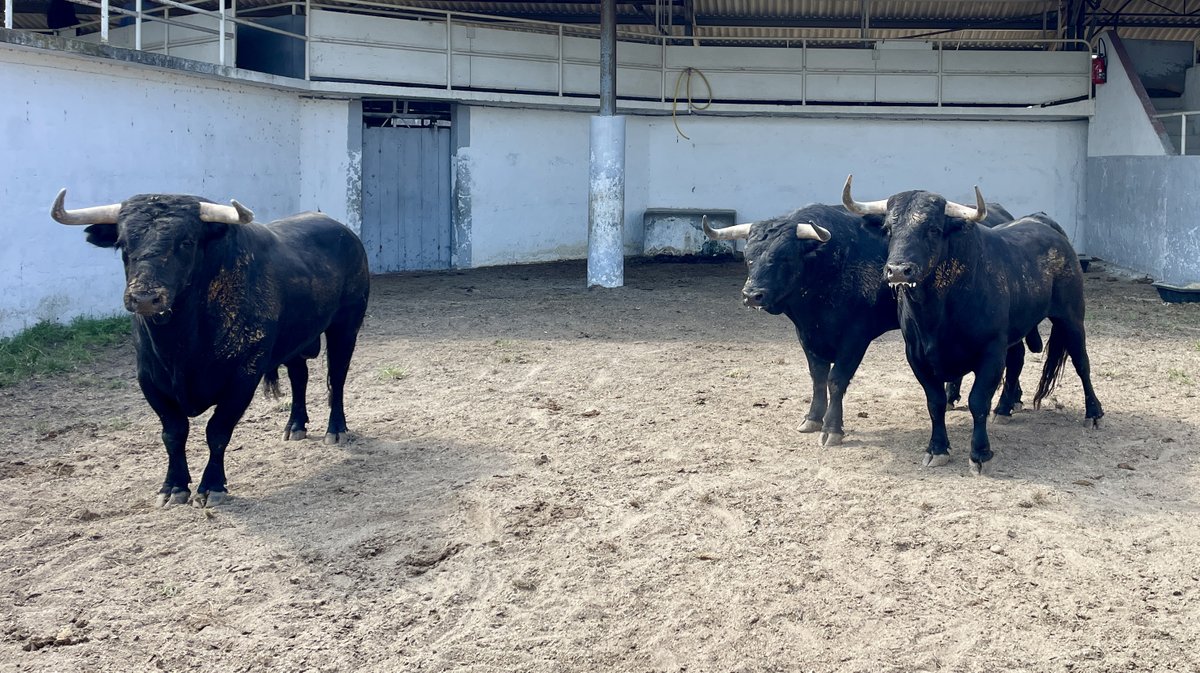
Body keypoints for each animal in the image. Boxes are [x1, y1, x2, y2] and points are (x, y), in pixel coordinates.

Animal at [50, 189, 369, 503]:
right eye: (123, 243)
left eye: (186, 241)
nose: (144, 298)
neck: (181, 346)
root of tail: (344, 232)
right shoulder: (149, 380)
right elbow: (173, 433)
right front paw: (173, 487)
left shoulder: (243, 376)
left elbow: (218, 430)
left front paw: (212, 486)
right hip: (294, 339)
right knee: (299, 377)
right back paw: (295, 426)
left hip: (346, 326)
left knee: (336, 379)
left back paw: (336, 430)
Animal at [705, 205, 1036, 446]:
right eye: (749, 257)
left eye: (783, 256)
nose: (752, 295)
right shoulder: (807, 335)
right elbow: (817, 378)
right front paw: (812, 418)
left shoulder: (855, 336)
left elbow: (836, 379)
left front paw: (832, 429)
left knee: (1015, 357)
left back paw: (1008, 404)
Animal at [840, 176, 1099, 475]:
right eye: (888, 229)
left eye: (933, 228)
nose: (897, 270)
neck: (937, 314)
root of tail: (1046, 226)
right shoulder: (916, 356)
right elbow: (935, 402)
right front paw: (937, 448)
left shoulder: (991, 352)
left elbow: (978, 401)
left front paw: (980, 453)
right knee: (1018, 359)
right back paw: (1005, 408)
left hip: (1071, 318)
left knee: (1082, 363)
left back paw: (1094, 413)